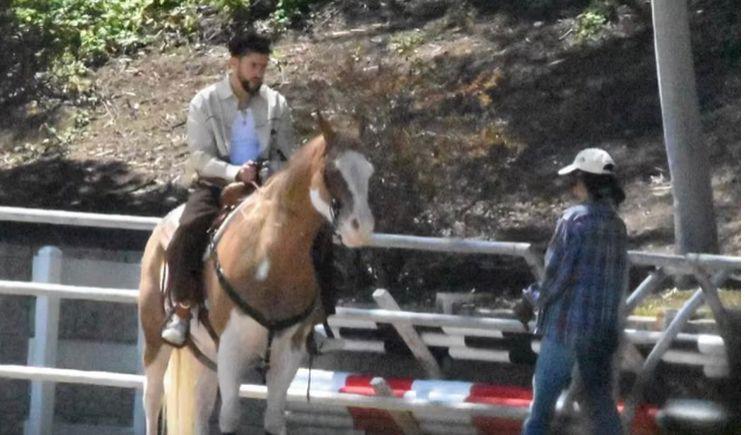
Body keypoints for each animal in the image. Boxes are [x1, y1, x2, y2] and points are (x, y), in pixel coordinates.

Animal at [137, 116, 374, 435]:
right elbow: (229, 418)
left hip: (206, 355)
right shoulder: (230, 350)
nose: (361, 228)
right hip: (154, 338)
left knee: (201, 406)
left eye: (369, 171)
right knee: (153, 397)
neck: (269, 260)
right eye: (330, 171)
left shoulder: (288, 354)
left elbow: (273, 419)